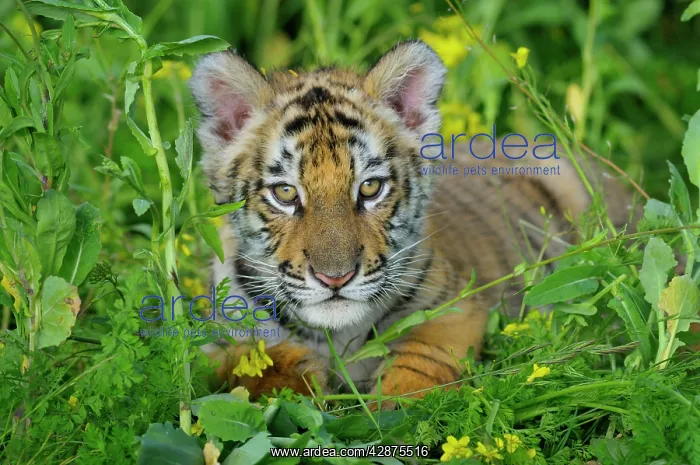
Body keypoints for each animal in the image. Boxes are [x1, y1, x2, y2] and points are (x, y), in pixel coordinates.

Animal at [189, 40, 634, 403]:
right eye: (285, 193)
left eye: (370, 188)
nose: (336, 278)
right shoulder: (214, 339)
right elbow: (252, 360)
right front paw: (299, 382)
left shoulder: (456, 306)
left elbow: (422, 359)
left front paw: (396, 416)